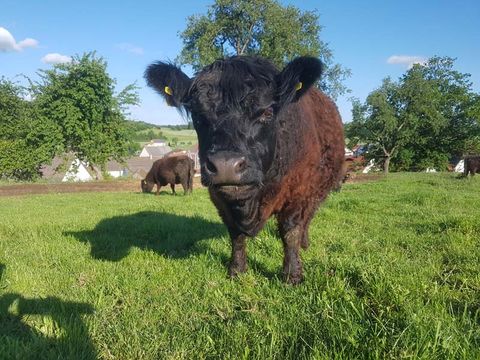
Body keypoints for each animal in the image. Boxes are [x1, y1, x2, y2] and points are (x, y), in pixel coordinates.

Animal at [146, 55, 344, 284]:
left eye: (267, 112)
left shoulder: (299, 191)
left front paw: (291, 275)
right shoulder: (220, 198)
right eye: (197, 115)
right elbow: (235, 234)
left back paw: (305, 242)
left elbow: (290, 231)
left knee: (308, 218)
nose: (226, 165)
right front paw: (237, 269)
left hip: (320, 189)